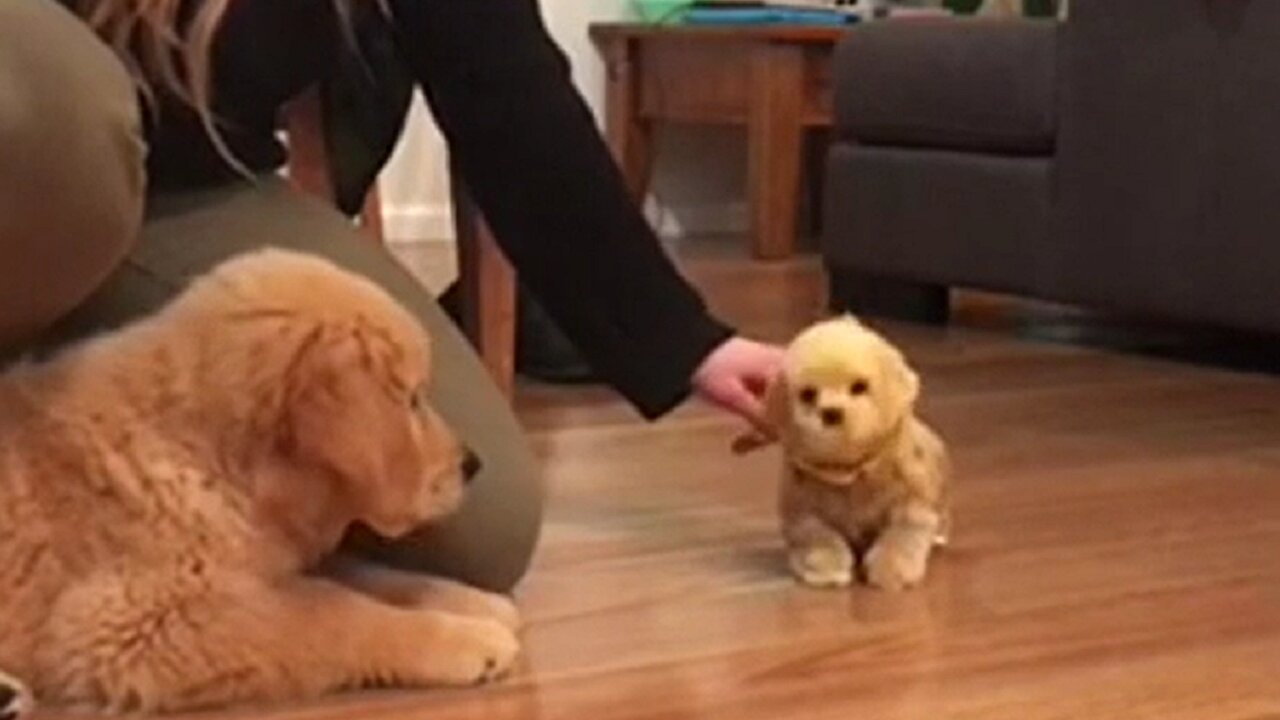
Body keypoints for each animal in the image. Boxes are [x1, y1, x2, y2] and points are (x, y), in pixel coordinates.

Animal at [0, 245, 522, 712]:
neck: (205, 459)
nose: (472, 464)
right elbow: (331, 612)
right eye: (412, 399)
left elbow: (367, 575)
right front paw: (467, 641)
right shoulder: (124, 624)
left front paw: (474, 602)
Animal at [742, 313, 952, 589]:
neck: (848, 468)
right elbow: (820, 538)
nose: (831, 412)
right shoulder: (803, 512)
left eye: (859, 387)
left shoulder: (911, 504)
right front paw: (825, 569)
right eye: (808, 394)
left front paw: (891, 571)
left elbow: (899, 538)